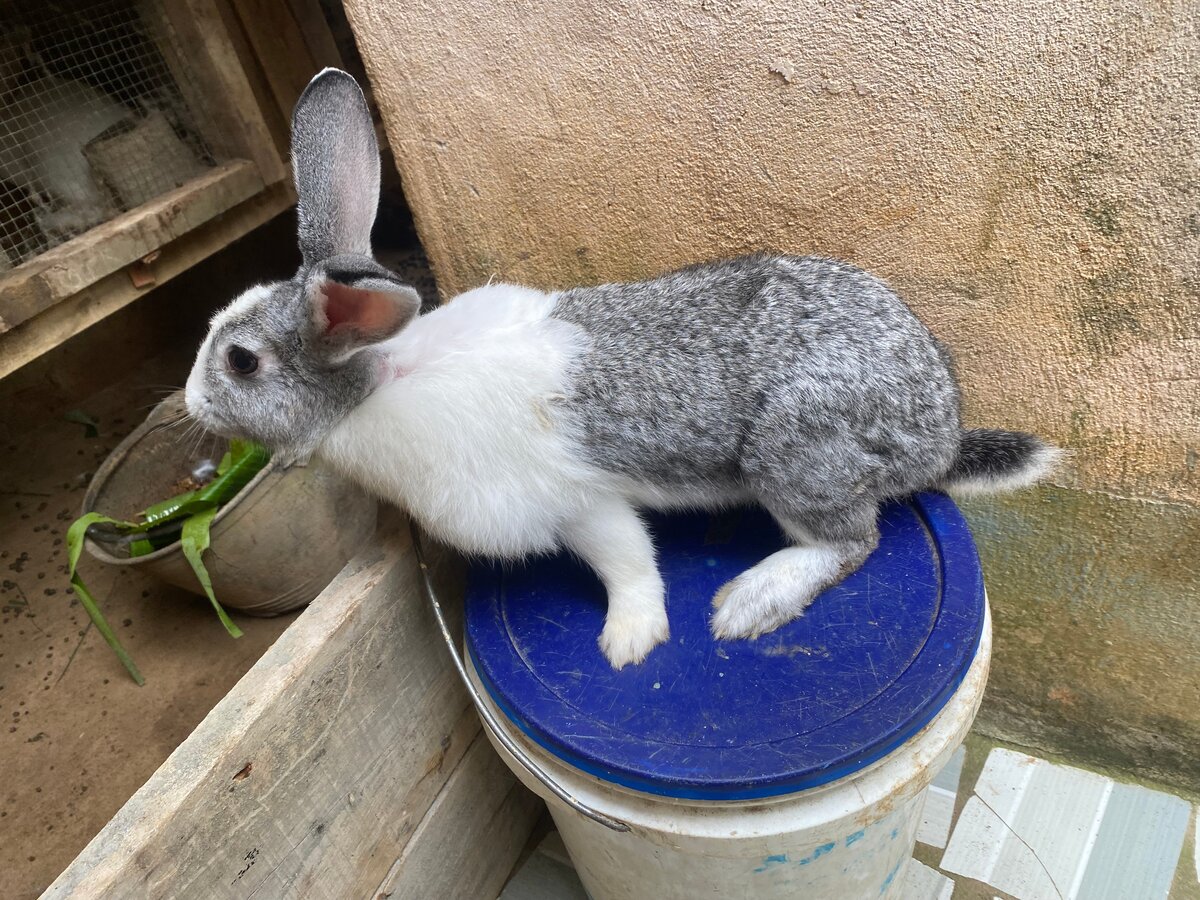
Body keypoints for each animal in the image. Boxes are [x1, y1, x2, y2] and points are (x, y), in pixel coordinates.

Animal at [185, 69, 1061, 669]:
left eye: (241, 361)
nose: (190, 400)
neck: (380, 384)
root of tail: (940, 427)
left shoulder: (581, 505)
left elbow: (628, 565)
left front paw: (629, 641)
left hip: (795, 452)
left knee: (853, 541)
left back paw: (751, 601)